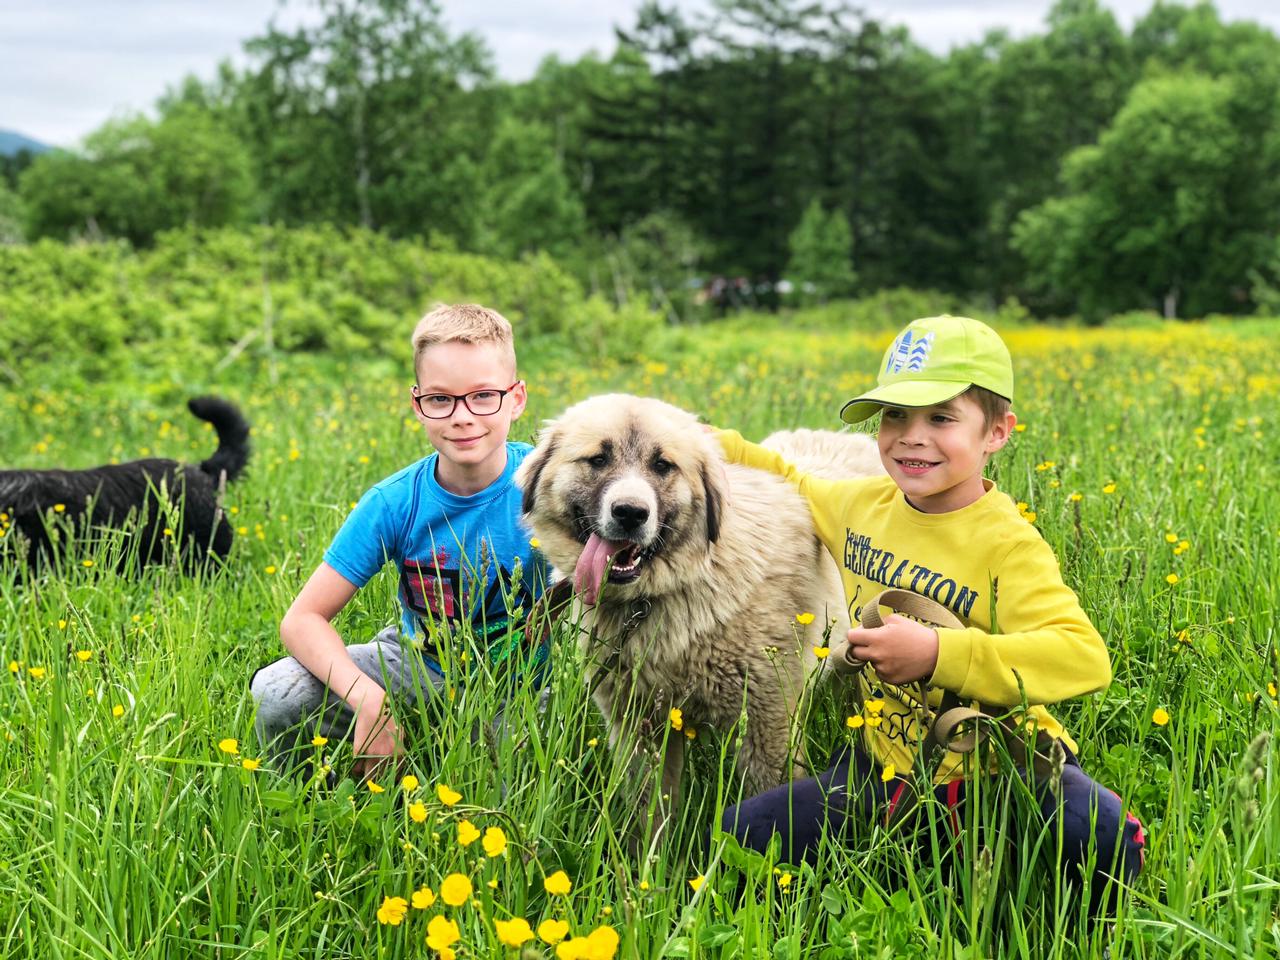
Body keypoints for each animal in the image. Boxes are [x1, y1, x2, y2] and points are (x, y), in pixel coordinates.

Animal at [514, 394, 885, 824]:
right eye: (598, 459)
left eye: (662, 465)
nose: (630, 513)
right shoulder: (639, 729)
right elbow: (651, 814)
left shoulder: (766, 724)